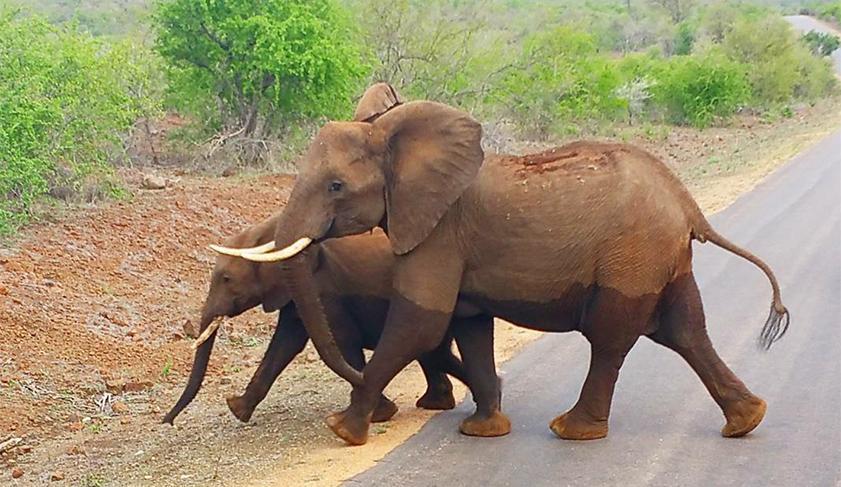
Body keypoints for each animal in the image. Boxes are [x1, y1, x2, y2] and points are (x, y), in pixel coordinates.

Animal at [164, 217, 480, 428]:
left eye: (227, 279)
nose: (167, 421)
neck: (270, 231)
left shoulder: (326, 288)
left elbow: (340, 340)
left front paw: (379, 414)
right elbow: (285, 343)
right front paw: (237, 409)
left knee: (431, 350)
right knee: (432, 352)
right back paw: (437, 403)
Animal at [218, 83, 788, 446]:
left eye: (335, 186)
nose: (375, 406)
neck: (392, 137)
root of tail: (688, 204)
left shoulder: (439, 230)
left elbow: (420, 322)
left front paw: (342, 429)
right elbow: (469, 325)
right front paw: (483, 429)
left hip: (633, 255)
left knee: (611, 338)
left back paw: (572, 431)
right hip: (659, 258)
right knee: (684, 331)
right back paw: (747, 421)